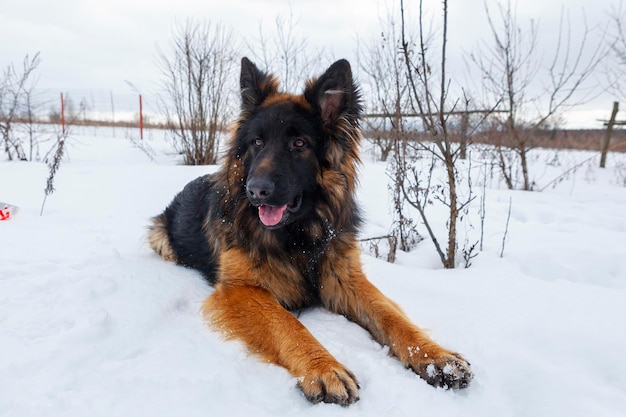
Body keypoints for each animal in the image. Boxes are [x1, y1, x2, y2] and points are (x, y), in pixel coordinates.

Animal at [146, 57, 468, 404]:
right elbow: (286, 324)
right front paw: (323, 368)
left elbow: (391, 316)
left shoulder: (345, 278)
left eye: (299, 144)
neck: (298, 235)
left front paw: (435, 356)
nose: (255, 190)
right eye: (257, 143)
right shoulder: (242, 290)